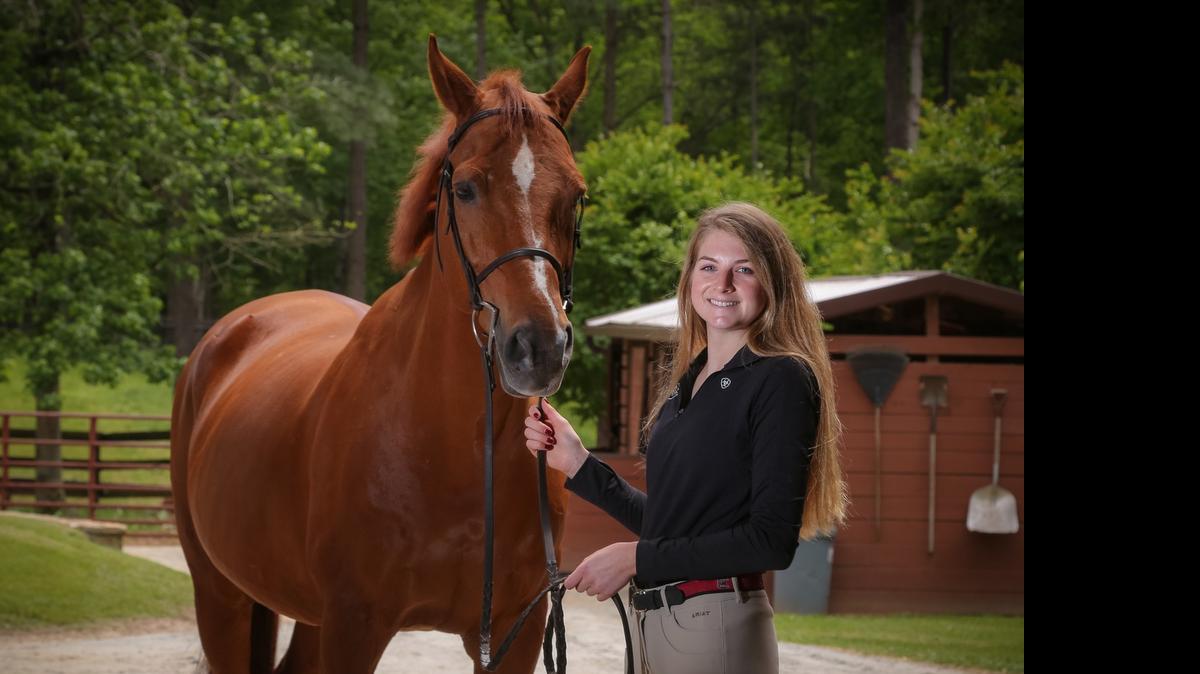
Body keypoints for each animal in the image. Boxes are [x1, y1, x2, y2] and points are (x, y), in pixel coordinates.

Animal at [170, 36, 590, 673]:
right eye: (465, 189)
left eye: (576, 195)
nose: (538, 347)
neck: (453, 450)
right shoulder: (355, 624)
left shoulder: (514, 631)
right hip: (220, 596)